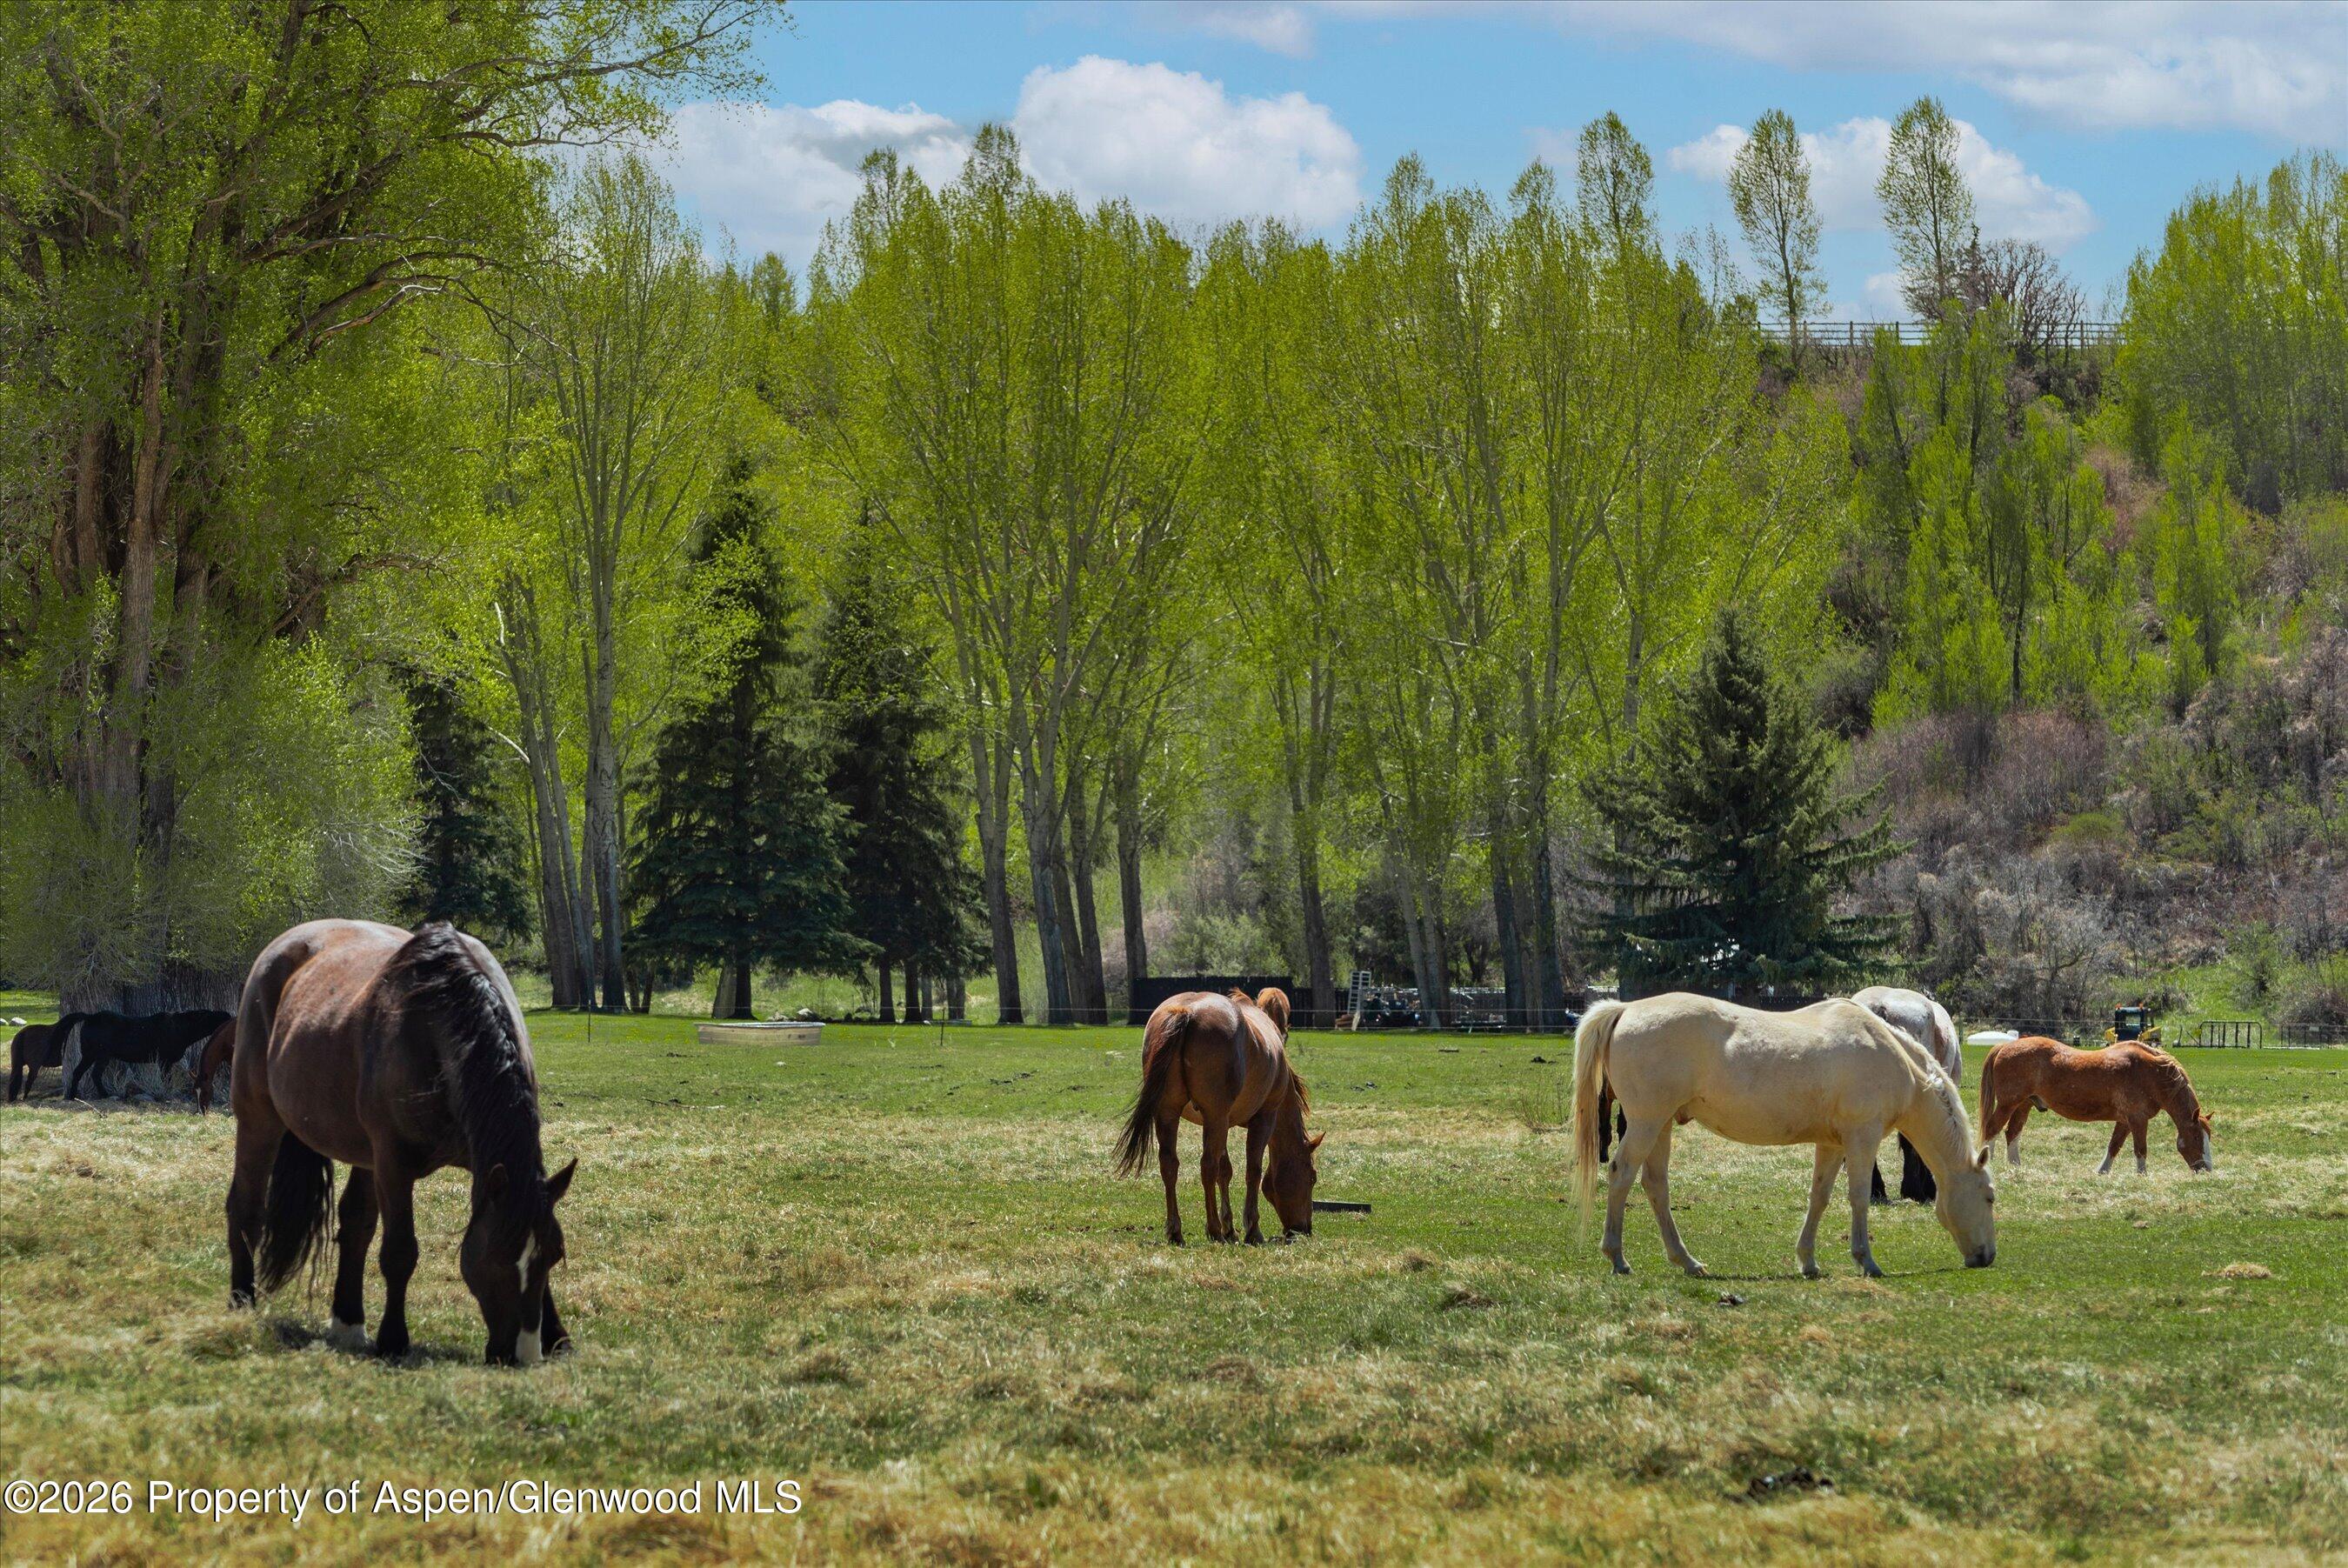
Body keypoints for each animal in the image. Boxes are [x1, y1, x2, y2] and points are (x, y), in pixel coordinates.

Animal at [62, 1008, 232, 1100]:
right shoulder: (164, 1061)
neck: (182, 1028)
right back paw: (105, 1095)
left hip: (89, 1055)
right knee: (95, 1074)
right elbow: (166, 1079)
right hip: (101, 1056)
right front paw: (167, 1094)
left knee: (77, 1072)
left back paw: (72, 1096)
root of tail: (90, 1017)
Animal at [227, 919, 576, 1365]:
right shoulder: (394, 1165)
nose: (522, 1354)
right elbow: (400, 1252)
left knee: (355, 1224)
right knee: (246, 1209)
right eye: (496, 1255)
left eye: (554, 1254)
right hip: (259, 1121)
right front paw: (394, 1338)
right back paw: (241, 1303)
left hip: (363, 1153)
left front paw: (558, 1337)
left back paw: (348, 1322)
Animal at [1114, 987, 1320, 1245]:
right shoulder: (1263, 1118)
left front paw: (1230, 1228)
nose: (1303, 1229)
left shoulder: (1223, 1123)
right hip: (1214, 1117)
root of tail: (1186, 1011)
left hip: (1170, 1114)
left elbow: (1226, 1171)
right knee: (1207, 1166)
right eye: (1312, 1177)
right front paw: (1251, 1229)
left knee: (1169, 1165)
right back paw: (1213, 1229)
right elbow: (1252, 1171)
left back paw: (1176, 1231)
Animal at [1978, 1036, 2214, 1175]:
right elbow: (2141, 1150)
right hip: (2008, 1104)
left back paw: (2015, 1166)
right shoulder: (2138, 1120)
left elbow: (2114, 1146)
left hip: (2023, 1105)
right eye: (2196, 1137)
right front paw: (2142, 1176)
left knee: (2012, 1133)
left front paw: (2102, 1172)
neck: (2150, 1074)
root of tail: (2005, 1046)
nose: (2207, 1169)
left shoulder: (2125, 1121)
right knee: (1993, 1129)